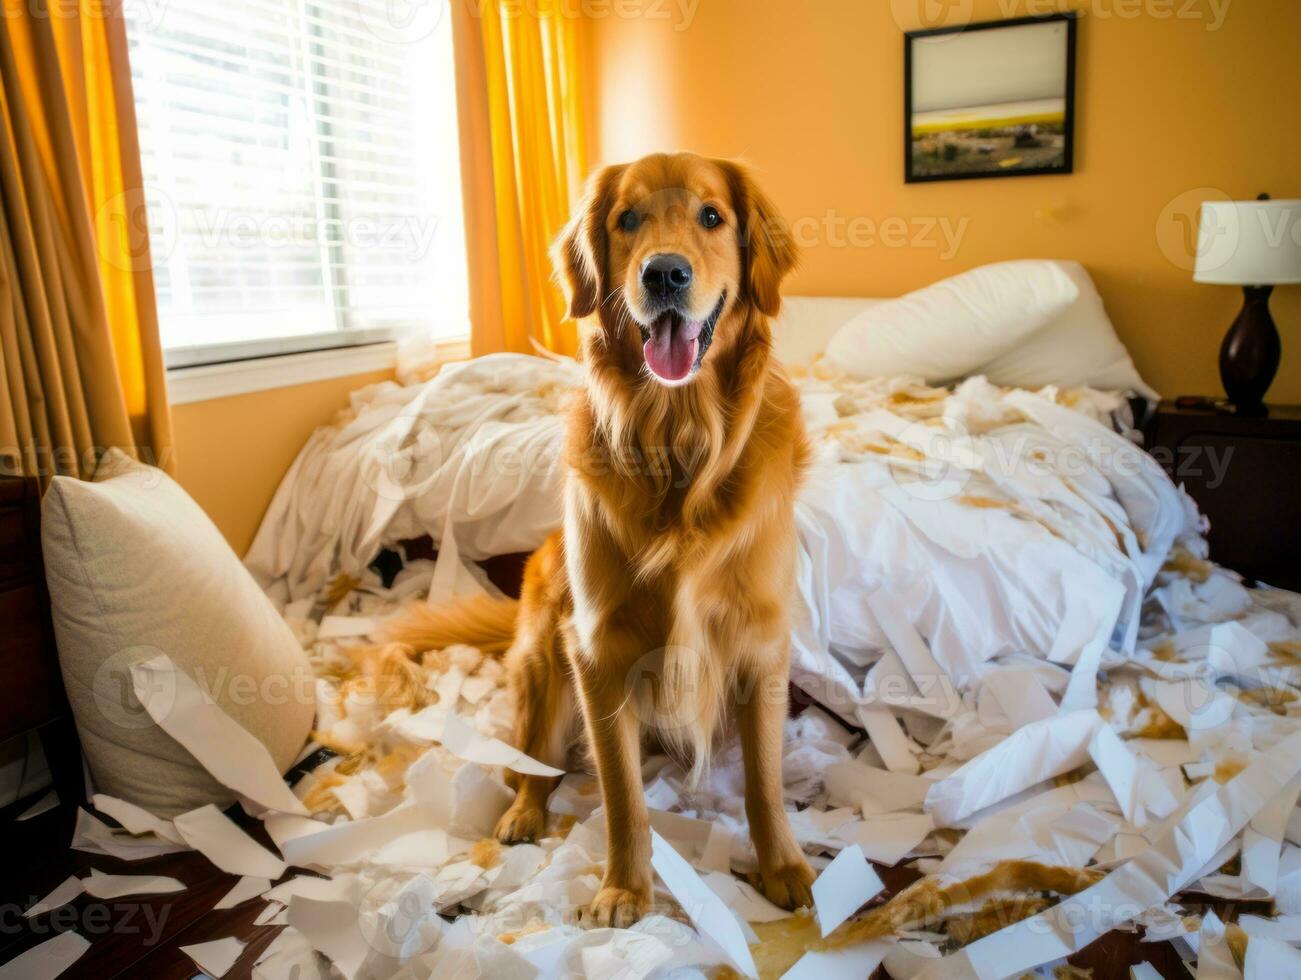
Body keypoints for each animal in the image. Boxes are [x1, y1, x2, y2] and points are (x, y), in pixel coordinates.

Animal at [387, 152, 811, 926]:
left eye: (711, 216)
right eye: (627, 219)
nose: (665, 274)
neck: (679, 443)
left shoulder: (761, 644)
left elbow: (763, 781)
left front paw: (783, 868)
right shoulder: (598, 653)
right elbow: (622, 797)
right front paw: (622, 889)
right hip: (541, 664)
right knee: (531, 764)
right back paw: (522, 815)